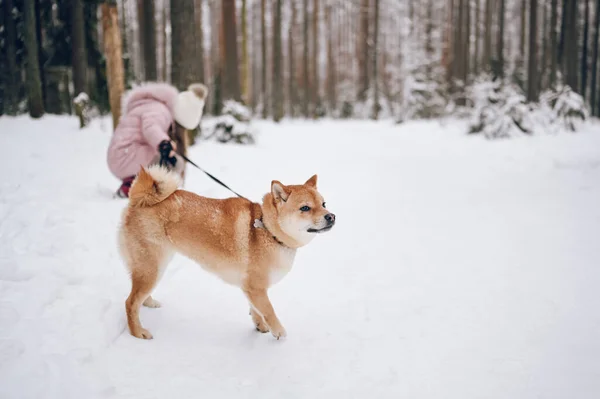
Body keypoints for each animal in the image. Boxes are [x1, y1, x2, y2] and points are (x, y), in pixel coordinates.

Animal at [117, 166, 332, 340]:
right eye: (305, 208)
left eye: (324, 204)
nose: (332, 216)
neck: (268, 230)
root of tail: (139, 199)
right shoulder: (256, 287)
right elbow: (269, 310)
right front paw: (277, 331)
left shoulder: (250, 287)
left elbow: (256, 309)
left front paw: (259, 325)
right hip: (152, 266)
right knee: (130, 302)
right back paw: (137, 332)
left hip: (156, 265)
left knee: (138, 295)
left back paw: (149, 302)